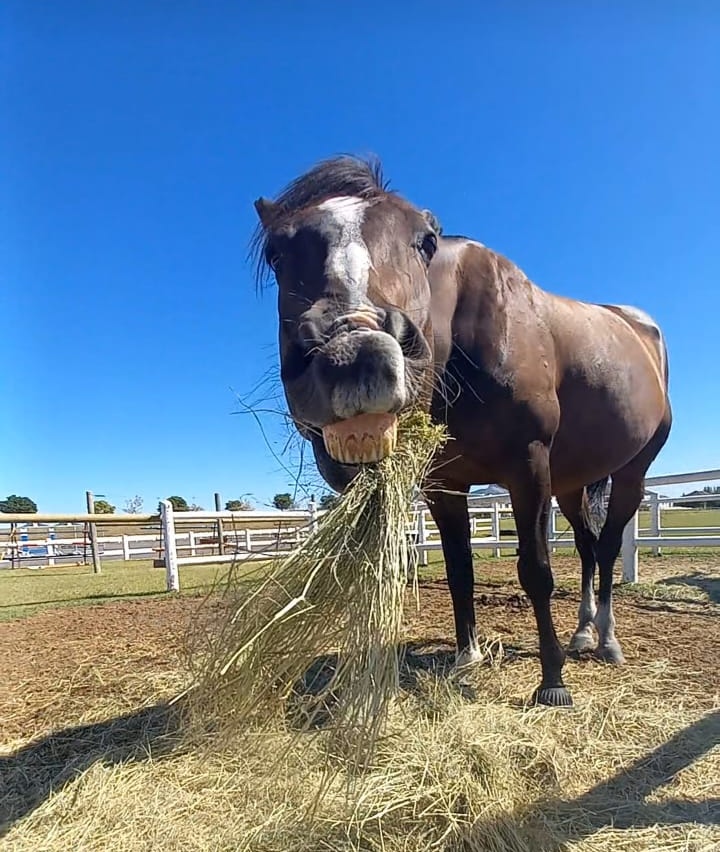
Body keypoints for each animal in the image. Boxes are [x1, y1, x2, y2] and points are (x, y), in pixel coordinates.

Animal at [252, 156, 668, 708]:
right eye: (276, 253)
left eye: (426, 241)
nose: (355, 352)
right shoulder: (444, 485)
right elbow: (458, 570)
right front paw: (466, 657)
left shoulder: (528, 466)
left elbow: (536, 571)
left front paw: (552, 681)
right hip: (573, 483)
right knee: (585, 546)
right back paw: (583, 633)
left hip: (631, 474)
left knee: (605, 547)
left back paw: (606, 640)